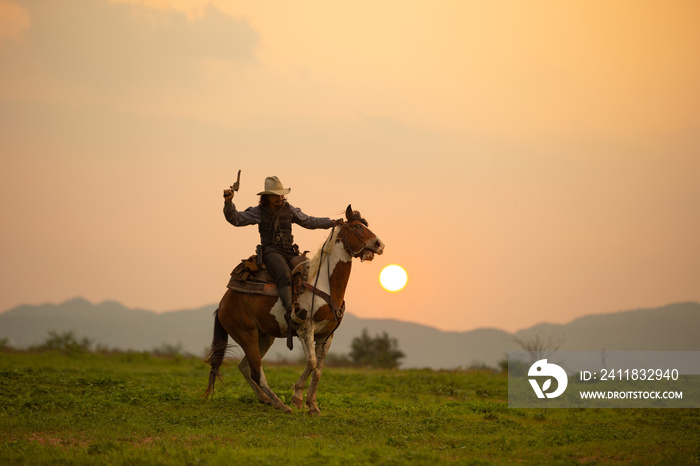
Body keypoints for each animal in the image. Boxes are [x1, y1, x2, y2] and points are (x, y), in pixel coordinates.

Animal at [205, 206, 386, 414]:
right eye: (357, 226)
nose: (380, 244)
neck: (324, 284)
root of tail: (223, 302)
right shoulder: (305, 329)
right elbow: (312, 362)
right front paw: (298, 397)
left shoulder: (326, 335)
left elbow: (319, 370)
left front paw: (313, 405)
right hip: (246, 335)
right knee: (256, 371)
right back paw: (281, 404)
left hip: (264, 337)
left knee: (245, 367)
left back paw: (265, 399)